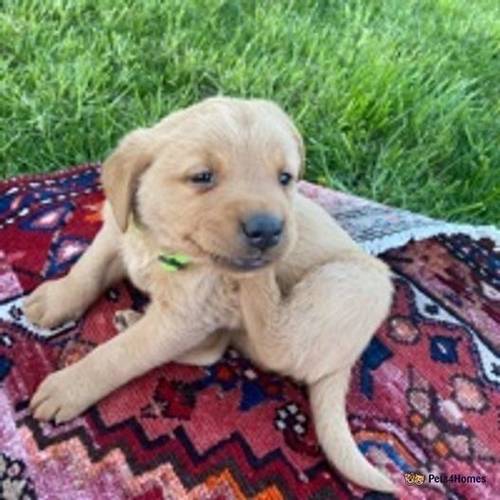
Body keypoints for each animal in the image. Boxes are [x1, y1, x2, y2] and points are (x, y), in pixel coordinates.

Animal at [24, 97, 394, 492]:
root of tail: (347, 361)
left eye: (285, 178)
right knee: (216, 348)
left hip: (353, 285)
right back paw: (133, 318)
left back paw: (252, 282)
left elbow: (117, 356)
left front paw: (68, 387)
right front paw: (55, 300)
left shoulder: (182, 318)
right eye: (202, 177)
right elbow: (88, 269)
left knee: (271, 340)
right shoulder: (117, 231)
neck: (163, 248)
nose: (268, 229)